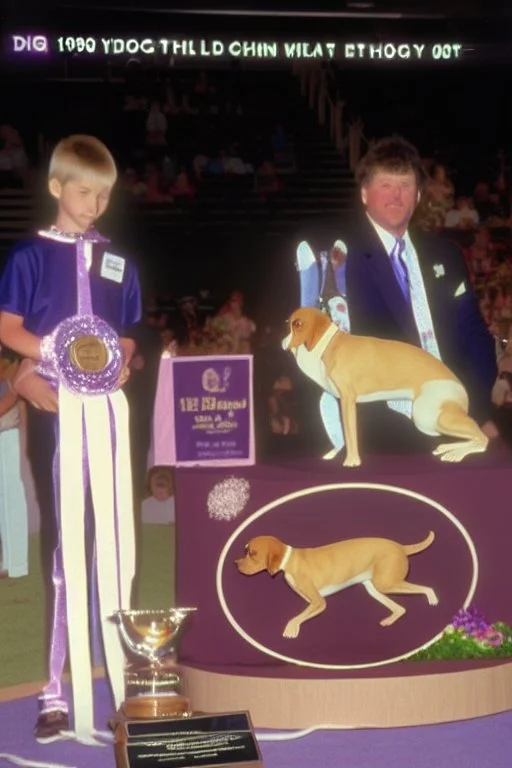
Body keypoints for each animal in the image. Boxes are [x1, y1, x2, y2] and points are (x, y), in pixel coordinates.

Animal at [234, 532, 438, 640]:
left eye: (252, 553)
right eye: (246, 551)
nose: (236, 564)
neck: (289, 560)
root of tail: (401, 547)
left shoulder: (319, 602)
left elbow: (295, 618)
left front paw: (291, 629)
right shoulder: (311, 601)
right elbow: (302, 614)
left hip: (386, 584)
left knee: (427, 588)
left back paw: (433, 598)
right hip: (375, 588)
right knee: (400, 608)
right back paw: (389, 620)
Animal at [284, 308, 488, 464]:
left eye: (298, 324)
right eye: (288, 322)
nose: (283, 343)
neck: (328, 345)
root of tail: (460, 389)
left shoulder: (348, 400)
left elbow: (350, 434)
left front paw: (351, 462)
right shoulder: (340, 401)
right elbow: (342, 434)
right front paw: (334, 454)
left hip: (431, 416)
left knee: (482, 437)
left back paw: (456, 454)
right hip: (428, 421)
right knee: (474, 436)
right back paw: (447, 448)